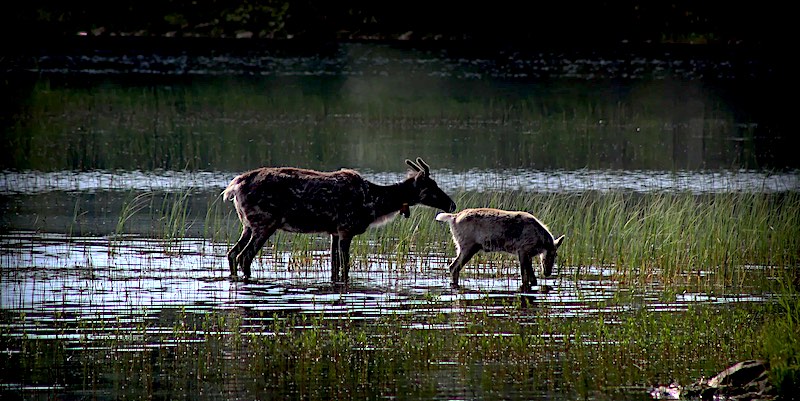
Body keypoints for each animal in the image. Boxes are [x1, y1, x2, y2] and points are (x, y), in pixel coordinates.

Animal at [223, 156, 456, 282]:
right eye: (431, 187)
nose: (452, 205)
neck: (373, 204)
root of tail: (234, 187)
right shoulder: (346, 228)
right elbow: (345, 265)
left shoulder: (334, 231)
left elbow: (334, 265)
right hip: (264, 223)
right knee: (244, 256)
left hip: (248, 225)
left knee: (232, 253)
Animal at [434, 208, 564, 290]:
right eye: (553, 254)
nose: (547, 273)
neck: (541, 241)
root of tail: (453, 217)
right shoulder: (523, 251)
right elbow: (527, 277)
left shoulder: (526, 254)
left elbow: (530, 278)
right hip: (467, 246)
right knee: (454, 267)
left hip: (465, 247)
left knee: (453, 267)